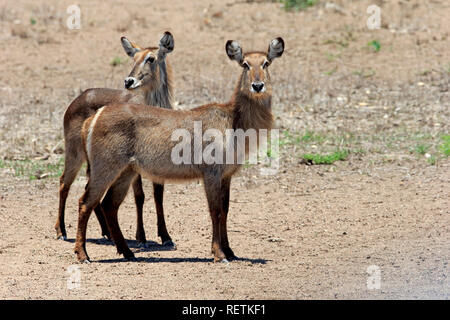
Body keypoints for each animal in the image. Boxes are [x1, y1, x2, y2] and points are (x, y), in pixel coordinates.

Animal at [55, 31, 175, 248]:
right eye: (133, 58)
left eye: (151, 58)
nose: (129, 81)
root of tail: (80, 97)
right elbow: (140, 196)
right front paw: (141, 237)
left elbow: (158, 196)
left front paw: (166, 237)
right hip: (75, 153)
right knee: (64, 183)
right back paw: (61, 231)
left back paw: (108, 233)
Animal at [75, 37, 284, 262]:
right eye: (245, 64)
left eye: (266, 63)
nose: (257, 85)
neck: (233, 120)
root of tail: (93, 119)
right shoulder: (211, 172)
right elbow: (215, 210)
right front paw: (219, 253)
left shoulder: (227, 174)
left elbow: (226, 210)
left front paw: (230, 251)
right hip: (105, 168)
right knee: (86, 202)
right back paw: (83, 254)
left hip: (126, 172)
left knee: (109, 205)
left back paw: (128, 253)